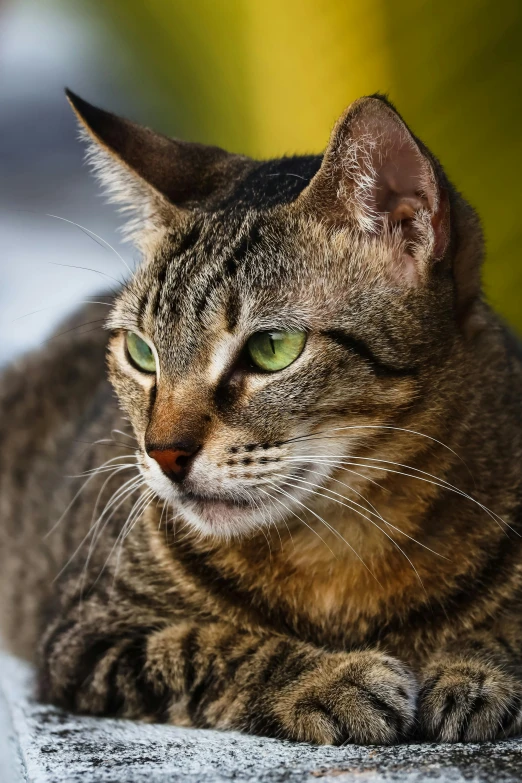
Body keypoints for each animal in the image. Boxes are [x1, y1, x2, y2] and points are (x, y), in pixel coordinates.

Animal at [1, 92, 520, 748]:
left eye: (272, 348)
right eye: (141, 352)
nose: (162, 453)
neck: (342, 555)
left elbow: (506, 629)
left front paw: (473, 666)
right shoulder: (86, 636)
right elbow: (210, 647)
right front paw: (331, 679)